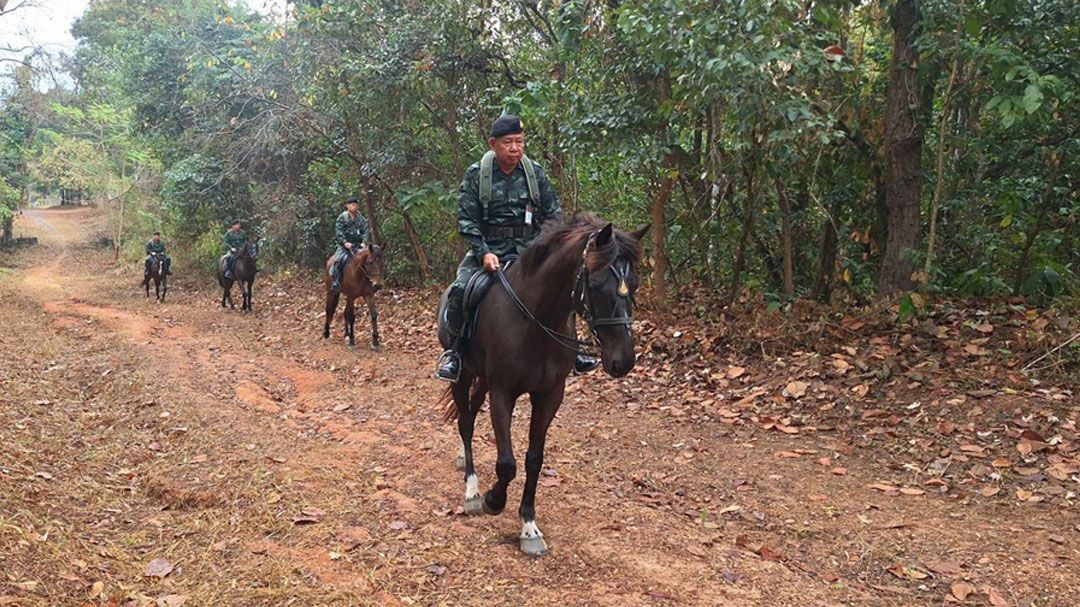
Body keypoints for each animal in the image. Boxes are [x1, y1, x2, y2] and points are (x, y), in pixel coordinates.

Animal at [436, 212, 643, 552]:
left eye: (634, 284)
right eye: (596, 284)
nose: (623, 361)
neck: (536, 319)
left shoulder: (549, 395)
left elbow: (534, 458)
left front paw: (529, 527)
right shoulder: (503, 392)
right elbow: (507, 463)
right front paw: (493, 500)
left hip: (482, 378)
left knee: (471, 414)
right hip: (463, 374)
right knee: (465, 422)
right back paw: (472, 490)